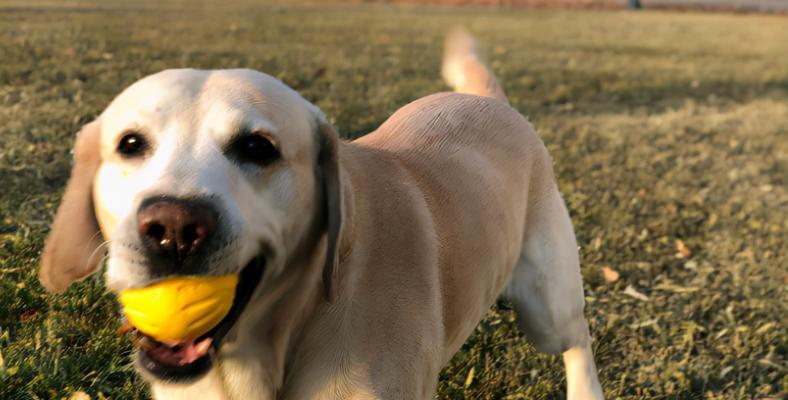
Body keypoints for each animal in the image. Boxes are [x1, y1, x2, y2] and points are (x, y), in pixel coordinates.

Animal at [38, 29, 604, 398]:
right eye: (130, 144)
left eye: (258, 147)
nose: (174, 228)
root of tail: (490, 102)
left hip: (547, 306)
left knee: (577, 340)